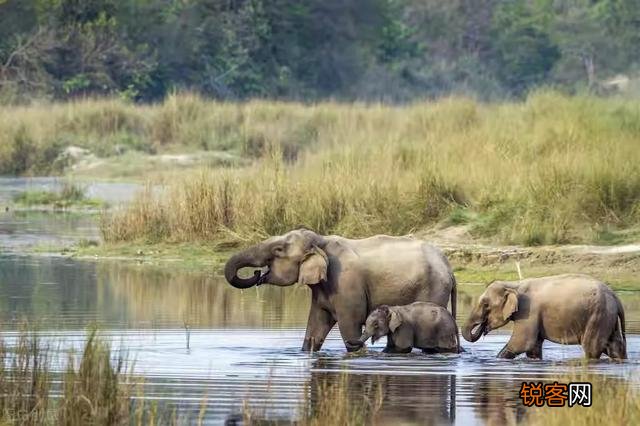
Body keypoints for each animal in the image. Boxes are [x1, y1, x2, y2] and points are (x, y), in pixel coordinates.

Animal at [224, 229, 457, 352]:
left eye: (278, 250)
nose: (257, 274)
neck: (321, 241)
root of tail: (449, 268)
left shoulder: (346, 285)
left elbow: (349, 325)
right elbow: (315, 328)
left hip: (434, 289)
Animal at [461, 274, 626, 360]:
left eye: (485, 305)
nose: (483, 328)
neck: (514, 285)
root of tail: (615, 297)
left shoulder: (528, 312)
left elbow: (521, 343)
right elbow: (533, 348)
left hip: (598, 316)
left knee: (591, 348)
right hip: (607, 317)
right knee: (614, 345)